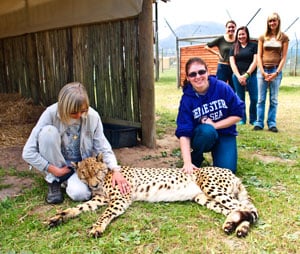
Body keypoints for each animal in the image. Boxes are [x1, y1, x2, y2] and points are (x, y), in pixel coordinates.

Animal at [47, 155, 258, 238]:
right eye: (83, 174)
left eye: (96, 171)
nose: (94, 185)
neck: (107, 175)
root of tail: (231, 172)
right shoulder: (100, 199)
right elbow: (78, 208)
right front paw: (58, 217)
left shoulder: (119, 200)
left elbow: (104, 214)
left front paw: (97, 227)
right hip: (205, 198)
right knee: (238, 210)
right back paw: (234, 226)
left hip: (212, 188)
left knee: (246, 209)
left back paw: (240, 228)